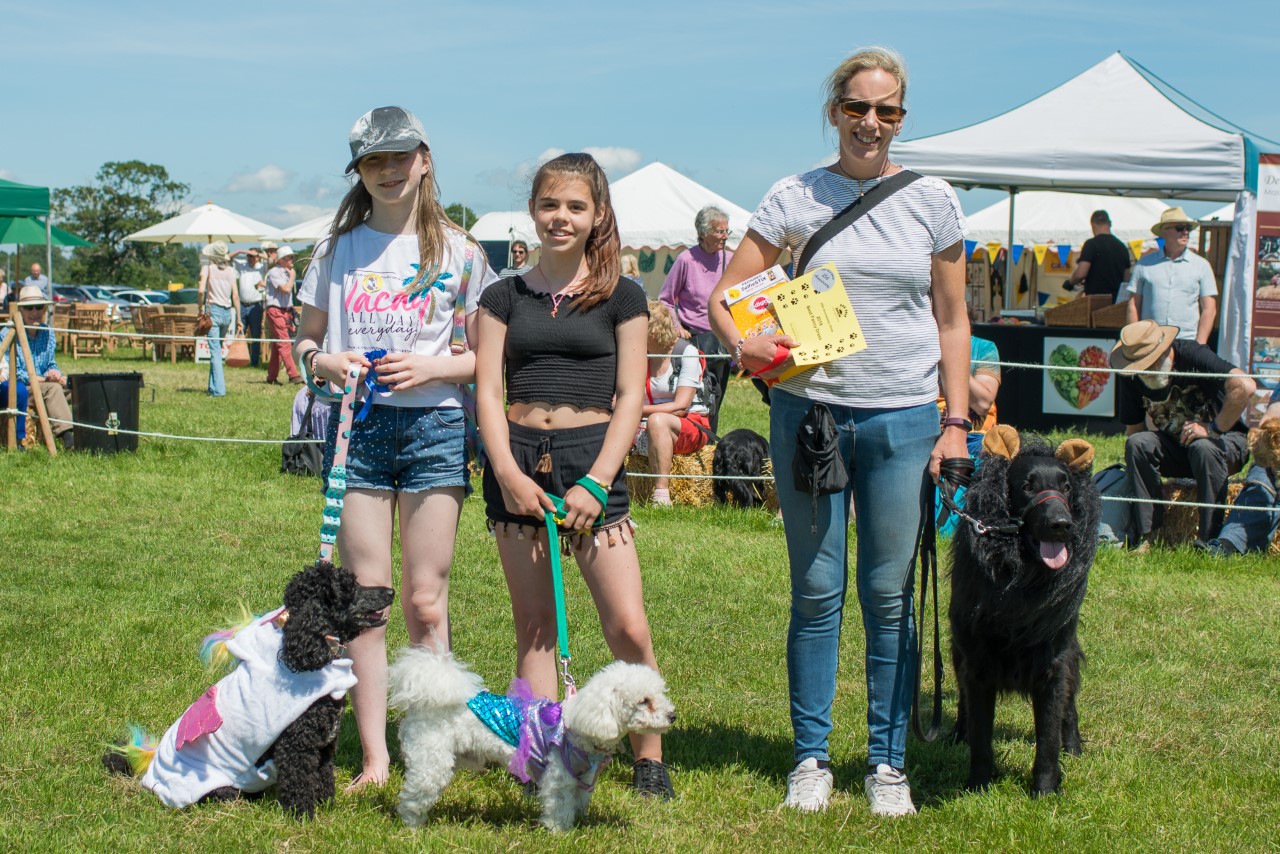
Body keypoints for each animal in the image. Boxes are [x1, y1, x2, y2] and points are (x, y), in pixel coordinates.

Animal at [104, 563, 391, 819]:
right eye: (349, 587)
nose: (390, 591)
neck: (305, 650)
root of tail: (149, 769)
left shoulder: (324, 742)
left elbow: (323, 775)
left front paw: (326, 804)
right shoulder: (296, 745)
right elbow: (299, 782)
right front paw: (303, 816)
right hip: (218, 786)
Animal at [389, 650, 675, 829]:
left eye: (661, 694)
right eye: (644, 701)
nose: (672, 715)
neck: (581, 724)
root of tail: (422, 704)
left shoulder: (582, 778)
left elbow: (578, 802)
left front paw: (578, 823)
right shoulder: (558, 778)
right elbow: (559, 806)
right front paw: (560, 832)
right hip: (431, 761)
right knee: (413, 797)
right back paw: (414, 827)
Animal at [952, 430, 1100, 798]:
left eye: (1065, 487)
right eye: (1027, 487)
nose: (1061, 525)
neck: (1023, 577)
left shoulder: (1054, 664)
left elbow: (1048, 735)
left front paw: (1045, 791)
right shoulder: (976, 663)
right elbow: (981, 733)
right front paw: (978, 787)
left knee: (1069, 709)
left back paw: (1074, 747)